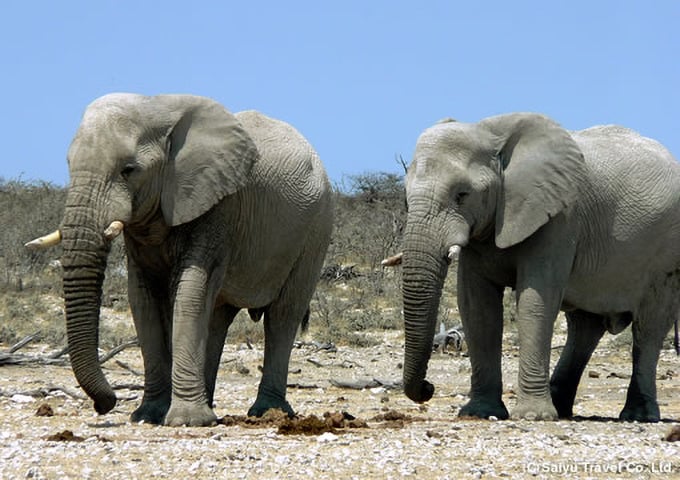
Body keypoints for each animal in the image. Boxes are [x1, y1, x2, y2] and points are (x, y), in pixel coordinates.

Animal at [25, 94, 334, 428]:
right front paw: (149, 416)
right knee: (218, 317)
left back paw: (266, 412)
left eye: (128, 170)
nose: (105, 404)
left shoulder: (218, 204)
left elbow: (190, 291)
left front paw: (187, 421)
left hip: (317, 229)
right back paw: (210, 406)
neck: (159, 106)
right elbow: (143, 300)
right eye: (69, 165)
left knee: (282, 315)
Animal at [390, 112, 680, 420]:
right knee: (584, 328)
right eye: (406, 199)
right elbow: (477, 307)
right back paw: (561, 408)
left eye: (462, 195)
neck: (492, 134)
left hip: (666, 255)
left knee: (649, 327)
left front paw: (532, 416)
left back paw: (638, 415)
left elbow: (535, 300)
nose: (428, 388)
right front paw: (479, 412)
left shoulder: (560, 217)